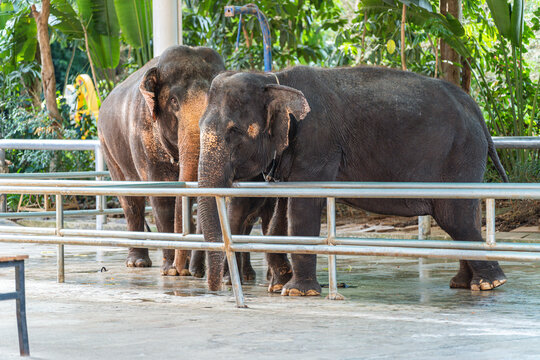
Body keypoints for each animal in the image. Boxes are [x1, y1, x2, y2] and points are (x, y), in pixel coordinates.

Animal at [197, 64, 510, 296]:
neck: (275, 79)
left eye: (234, 131)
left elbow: (302, 208)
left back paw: (489, 284)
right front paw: (281, 283)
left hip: (460, 154)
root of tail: (475, 109)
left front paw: (298, 292)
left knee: (455, 216)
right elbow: (281, 214)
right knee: (462, 216)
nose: (214, 289)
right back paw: (464, 284)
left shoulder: (317, 144)